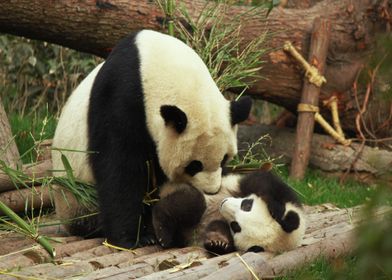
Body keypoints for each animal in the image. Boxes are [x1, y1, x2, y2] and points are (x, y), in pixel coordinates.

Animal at [51, 30, 251, 249]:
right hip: (77, 198)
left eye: (224, 159)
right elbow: (119, 168)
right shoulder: (120, 98)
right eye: (194, 165)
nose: (211, 190)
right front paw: (130, 239)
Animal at [153, 170, 306, 255]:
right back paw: (162, 231)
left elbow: (219, 229)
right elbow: (262, 181)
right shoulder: (287, 197)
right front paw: (275, 207)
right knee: (192, 202)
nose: (223, 203)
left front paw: (218, 242)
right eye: (247, 205)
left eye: (235, 226)